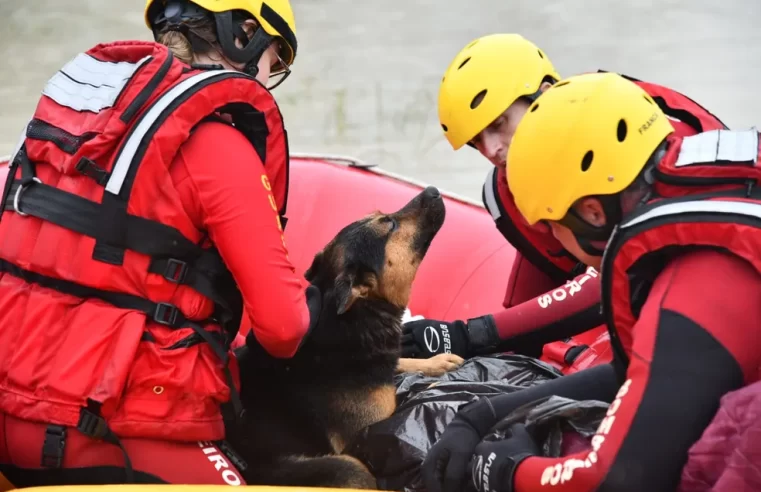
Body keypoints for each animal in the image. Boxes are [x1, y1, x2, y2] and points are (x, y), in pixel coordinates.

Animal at [229, 185, 448, 488]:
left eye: (384, 216)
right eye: (390, 224)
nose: (433, 190)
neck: (355, 315)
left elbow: (402, 362)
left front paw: (439, 362)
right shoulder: (370, 430)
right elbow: (410, 396)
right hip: (348, 468)